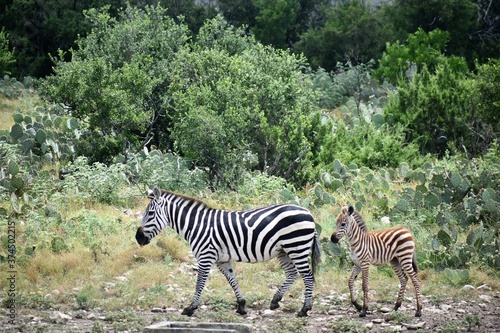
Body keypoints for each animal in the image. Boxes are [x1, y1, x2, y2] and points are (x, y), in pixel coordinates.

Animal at [134, 188, 320, 316]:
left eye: (150, 213)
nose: (138, 238)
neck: (197, 225)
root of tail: (309, 213)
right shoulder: (221, 260)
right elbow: (232, 280)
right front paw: (241, 306)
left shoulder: (206, 256)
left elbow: (199, 283)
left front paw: (191, 308)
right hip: (284, 250)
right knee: (292, 274)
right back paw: (275, 301)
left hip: (296, 246)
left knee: (307, 276)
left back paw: (304, 309)